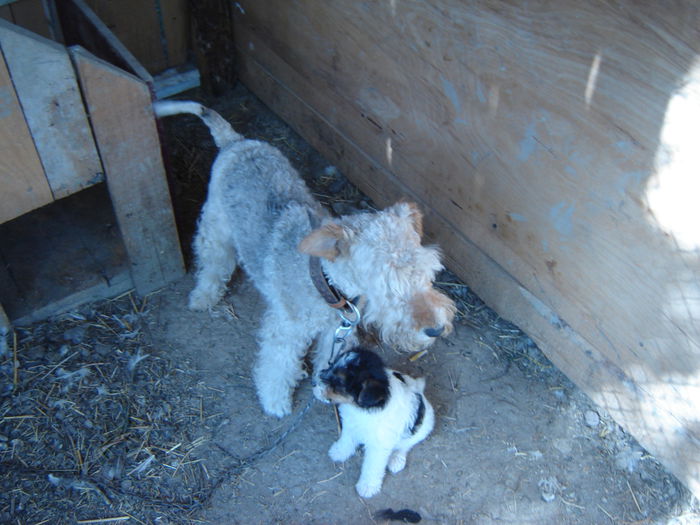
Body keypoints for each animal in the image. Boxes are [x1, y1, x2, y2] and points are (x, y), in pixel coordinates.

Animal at [320, 346, 434, 498]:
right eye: (331, 364)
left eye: (339, 382)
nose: (315, 382)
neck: (364, 408)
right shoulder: (351, 425)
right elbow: (346, 440)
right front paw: (338, 452)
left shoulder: (379, 446)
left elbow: (372, 466)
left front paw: (367, 486)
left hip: (422, 428)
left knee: (405, 445)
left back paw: (396, 459)